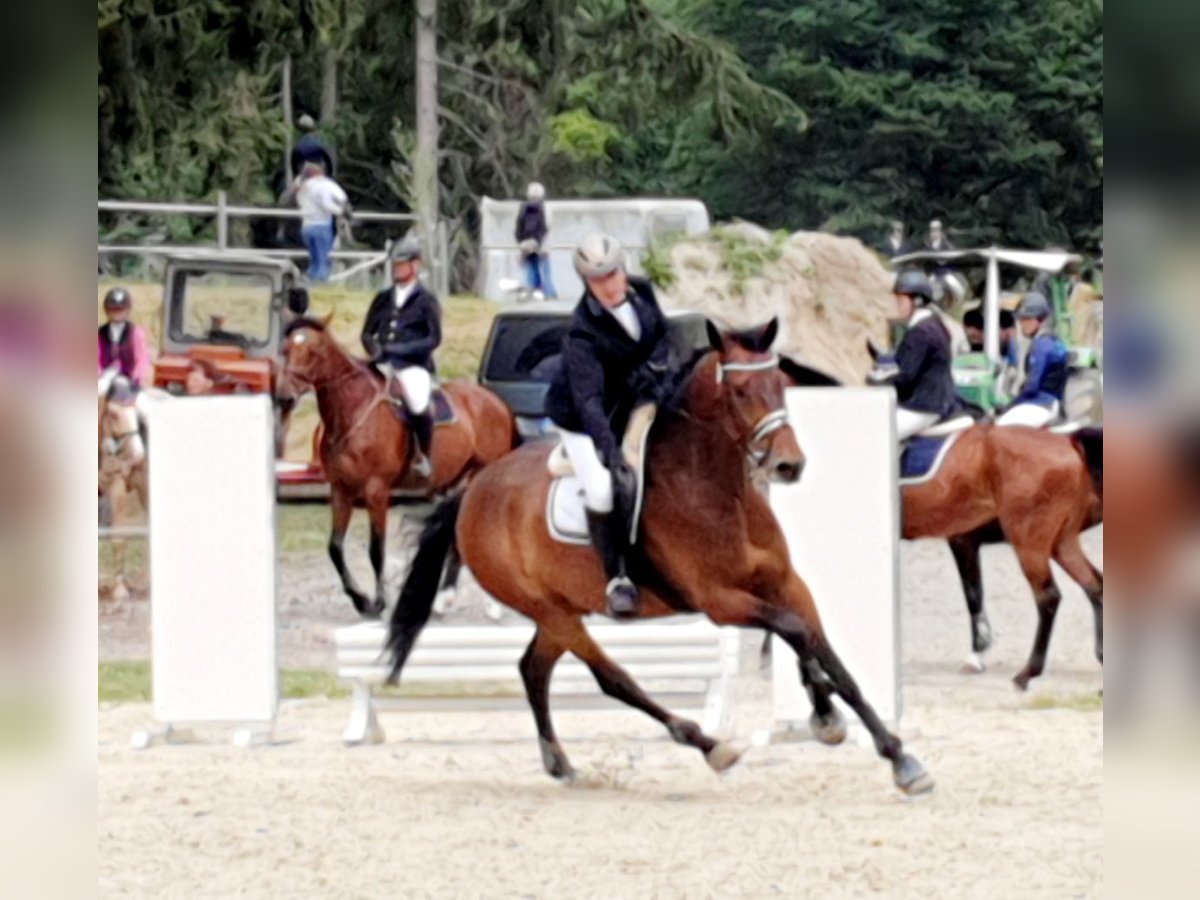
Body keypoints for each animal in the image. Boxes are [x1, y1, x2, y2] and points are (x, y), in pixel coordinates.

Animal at [276, 316, 516, 619]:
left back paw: (490, 605)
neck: (352, 412)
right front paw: (361, 601)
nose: (284, 397)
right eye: (285, 349)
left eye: (314, 352)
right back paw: (443, 600)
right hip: (456, 481)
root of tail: (496, 401)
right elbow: (334, 547)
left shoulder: (376, 490)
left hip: (480, 477)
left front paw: (379, 603)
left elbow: (376, 549)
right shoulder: (340, 490)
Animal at [386, 321, 936, 796]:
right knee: (611, 678)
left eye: (782, 386)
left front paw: (886, 751)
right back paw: (709, 746)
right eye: (740, 393)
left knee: (532, 669)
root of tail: (474, 491)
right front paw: (837, 725)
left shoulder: (786, 583)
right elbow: (795, 632)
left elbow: (825, 652)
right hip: (552, 611)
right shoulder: (720, 602)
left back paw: (560, 761)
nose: (788, 465)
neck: (717, 491)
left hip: (560, 610)